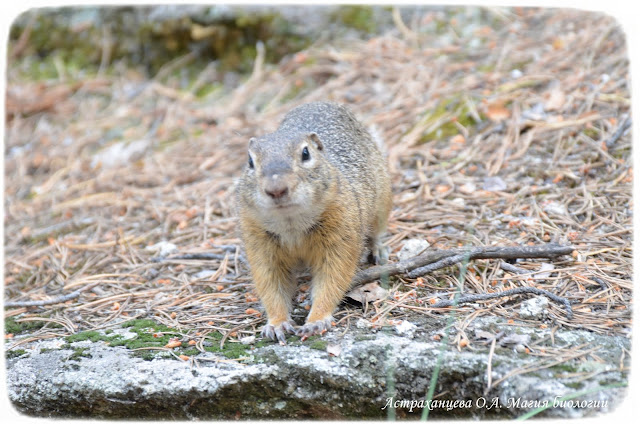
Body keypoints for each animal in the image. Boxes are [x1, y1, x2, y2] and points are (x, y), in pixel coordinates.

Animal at [238, 102, 392, 344]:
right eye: (250, 161)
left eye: (305, 153)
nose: (276, 189)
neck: (291, 223)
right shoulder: (261, 246)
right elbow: (271, 287)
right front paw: (277, 323)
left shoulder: (341, 236)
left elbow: (332, 278)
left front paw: (317, 319)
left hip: (381, 203)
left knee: (376, 232)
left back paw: (378, 250)